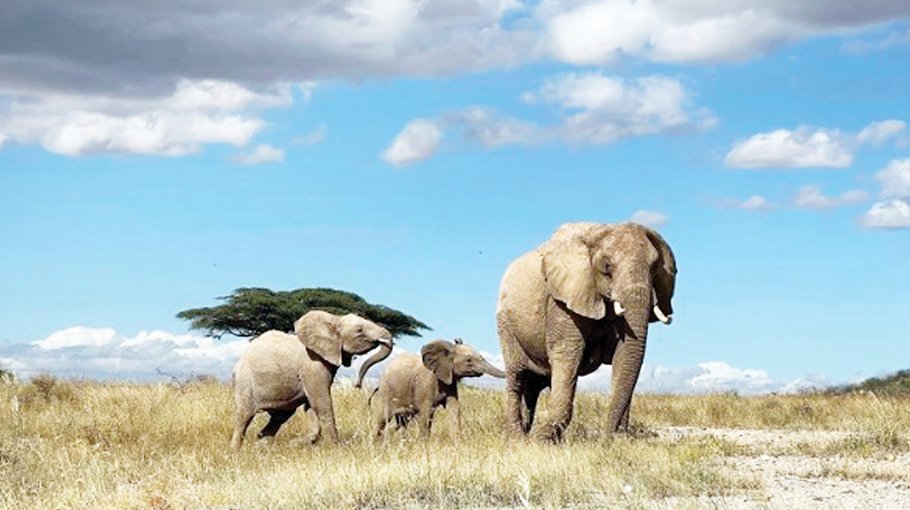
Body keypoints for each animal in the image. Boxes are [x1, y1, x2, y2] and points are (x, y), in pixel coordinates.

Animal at [230, 310, 393, 449]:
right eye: (359, 330)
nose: (358, 385)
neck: (334, 319)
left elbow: (311, 406)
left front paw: (297, 444)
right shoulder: (312, 364)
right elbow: (321, 403)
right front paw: (337, 448)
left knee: (280, 417)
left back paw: (260, 448)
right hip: (244, 380)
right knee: (245, 416)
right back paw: (235, 451)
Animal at [370, 338, 505, 439]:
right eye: (469, 360)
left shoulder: (450, 381)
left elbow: (454, 408)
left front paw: (456, 442)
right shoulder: (425, 383)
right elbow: (426, 412)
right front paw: (424, 444)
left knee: (403, 421)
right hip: (386, 390)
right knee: (383, 417)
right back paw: (377, 443)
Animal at [496, 222, 676, 442]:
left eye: (654, 268)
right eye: (607, 267)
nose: (606, 438)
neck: (601, 231)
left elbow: (624, 355)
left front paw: (619, 439)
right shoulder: (562, 300)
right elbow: (567, 353)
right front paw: (541, 440)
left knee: (534, 385)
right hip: (506, 324)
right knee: (517, 376)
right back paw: (517, 438)